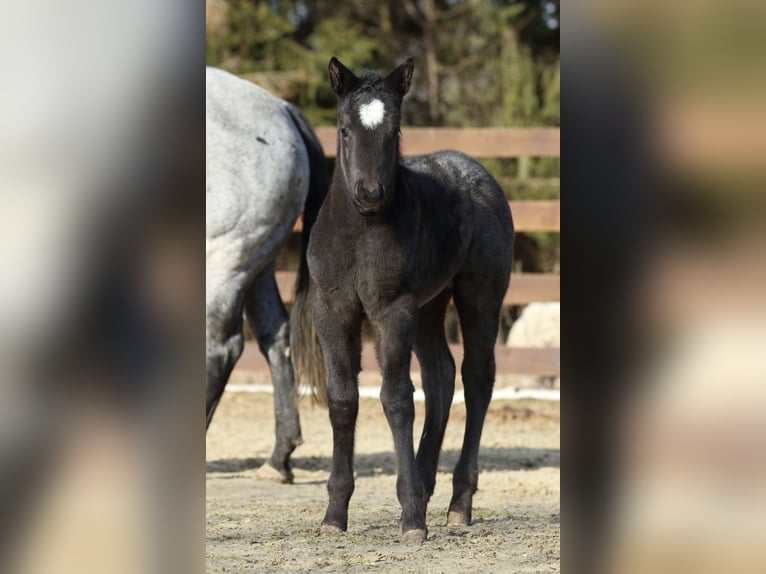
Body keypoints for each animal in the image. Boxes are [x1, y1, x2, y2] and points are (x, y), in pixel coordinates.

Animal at [207, 66, 328, 482]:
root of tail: (281, 110)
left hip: (227, 259)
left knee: (222, 348)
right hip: (256, 262)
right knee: (274, 335)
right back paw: (279, 459)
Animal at [304, 58, 512, 540]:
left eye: (395, 130)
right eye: (344, 129)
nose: (369, 193)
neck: (360, 235)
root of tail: (476, 172)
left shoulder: (393, 311)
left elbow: (396, 398)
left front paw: (412, 517)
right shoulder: (331, 311)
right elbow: (342, 398)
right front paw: (334, 513)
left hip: (479, 297)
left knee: (476, 379)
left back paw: (457, 503)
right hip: (429, 306)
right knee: (440, 375)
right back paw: (426, 481)